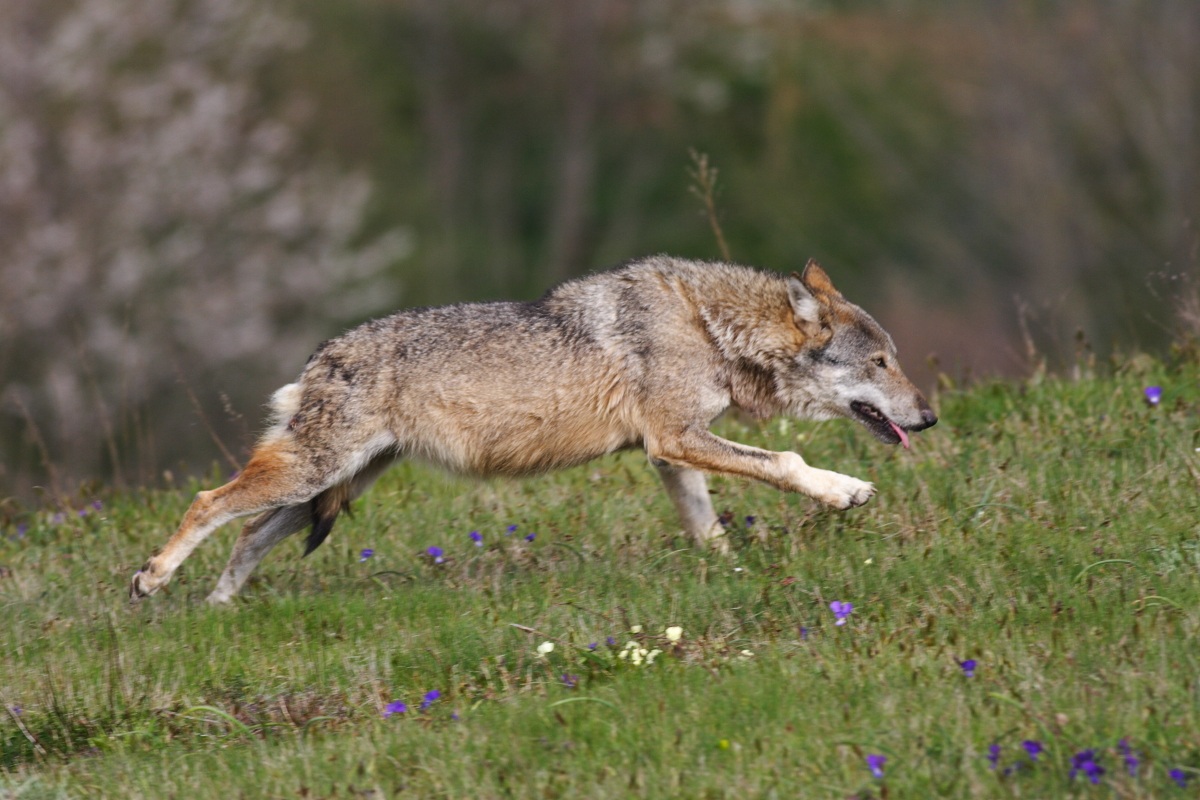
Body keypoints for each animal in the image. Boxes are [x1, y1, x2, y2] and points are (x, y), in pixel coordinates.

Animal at [130, 256, 936, 604]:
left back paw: (215, 613)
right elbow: (788, 461)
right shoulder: (678, 440)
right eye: (882, 363)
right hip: (314, 475)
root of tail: (318, 357)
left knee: (244, 534)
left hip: (327, 488)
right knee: (208, 503)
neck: (708, 325)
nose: (929, 417)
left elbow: (709, 529)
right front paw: (846, 491)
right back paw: (153, 580)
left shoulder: (669, 454)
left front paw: (730, 576)